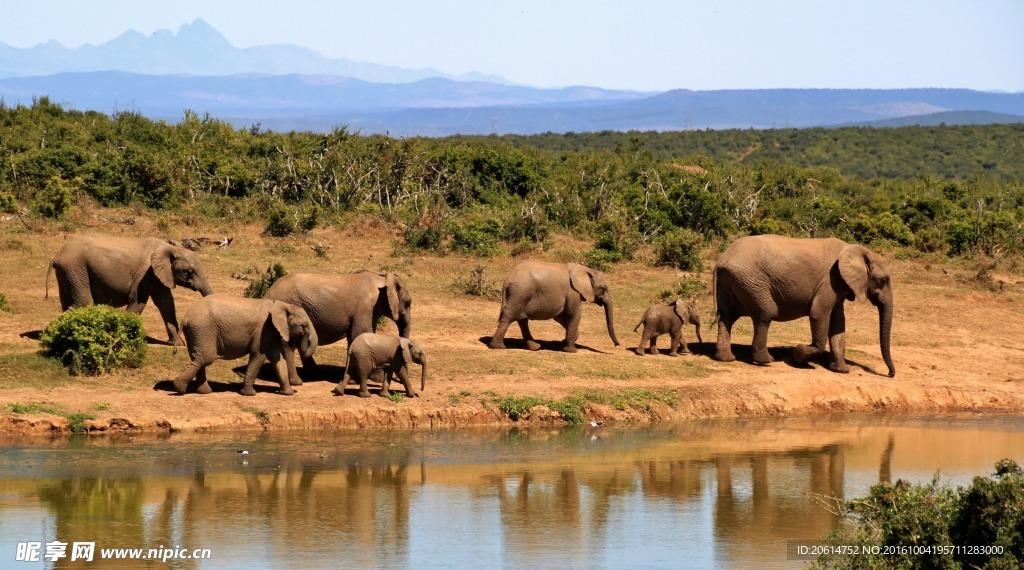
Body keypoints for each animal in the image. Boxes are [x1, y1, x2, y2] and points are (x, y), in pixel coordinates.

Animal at [47, 232, 214, 345]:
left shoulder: (158, 276)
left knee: (69, 303)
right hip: (76, 269)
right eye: (190, 272)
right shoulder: (145, 274)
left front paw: (177, 344)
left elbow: (166, 304)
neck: (171, 248)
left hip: (68, 273)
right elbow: (138, 302)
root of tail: (56, 257)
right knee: (83, 303)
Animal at [172, 292, 317, 395]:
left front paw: (288, 393)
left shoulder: (271, 332)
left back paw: (204, 392)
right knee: (206, 358)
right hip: (203, 329)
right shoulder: (263, 330)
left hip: (197, 332)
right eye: (303, 326)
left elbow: (277, 359)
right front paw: (250, 394)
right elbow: (259, 355)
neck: (282, 305)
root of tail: (186, 317)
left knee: (198, 357)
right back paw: (179, 387)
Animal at [264, 266, 411, 378]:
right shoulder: (366, 308)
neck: (382, 278)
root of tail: (267, 293)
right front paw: (375, 379)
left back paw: (316, 374)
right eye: (408, 303)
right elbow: (361, 334)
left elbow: (354, 337)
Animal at [489, 258, 622, 352]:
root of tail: (507, 279)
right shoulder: (573, 292)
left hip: (521, 294)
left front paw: (566, 341)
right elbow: (574, 314)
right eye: (603, 289)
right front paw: (571, 350)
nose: (617, 344)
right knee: (509, 316)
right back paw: (498, 346)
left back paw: (535, 347)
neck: (586, 269)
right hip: (521, 292)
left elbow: (560, 316)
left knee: (522, 320)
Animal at [712, 233, 897, 376]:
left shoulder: (838, 286)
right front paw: (798, 355)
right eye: (883, 280)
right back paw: (766, 360)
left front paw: (840, 370)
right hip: (752, 282)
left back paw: (726, 358)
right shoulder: (830, 281)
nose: (889, 374)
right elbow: (819, 313)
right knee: (765, 314)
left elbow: (838, 322)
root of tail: (721, 260)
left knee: (727, 317)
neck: (857, 249)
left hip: (733, 282)